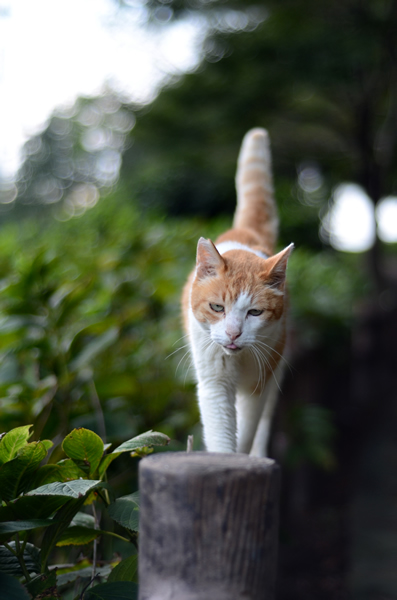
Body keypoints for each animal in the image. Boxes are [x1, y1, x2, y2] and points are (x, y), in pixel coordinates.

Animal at [181, 126, 292, 454]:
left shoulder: (260, 383)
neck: (238, 359)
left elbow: (246, 432)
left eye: (255, 312)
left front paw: (241, 457)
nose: (232, 334)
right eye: (217, 307)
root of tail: (246, 233)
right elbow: (222, 434)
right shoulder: (214, 383)